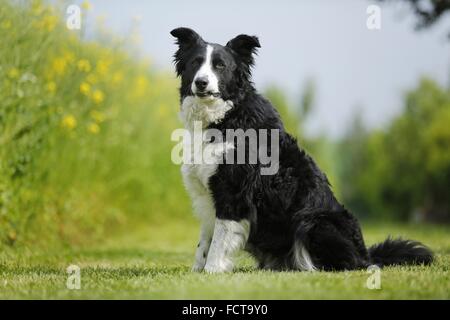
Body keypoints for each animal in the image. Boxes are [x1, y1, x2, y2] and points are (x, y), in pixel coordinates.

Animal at [171, 26, 434, 272]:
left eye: (220, 66)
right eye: (195, 63)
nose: (201, 82)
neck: (224, 117)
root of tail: (367, 254)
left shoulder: (233, 192)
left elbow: (219, 241)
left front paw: (212, 272)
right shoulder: (207, 196)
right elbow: (204, 242)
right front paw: (197, 272)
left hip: (314, 221)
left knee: (352, 263)